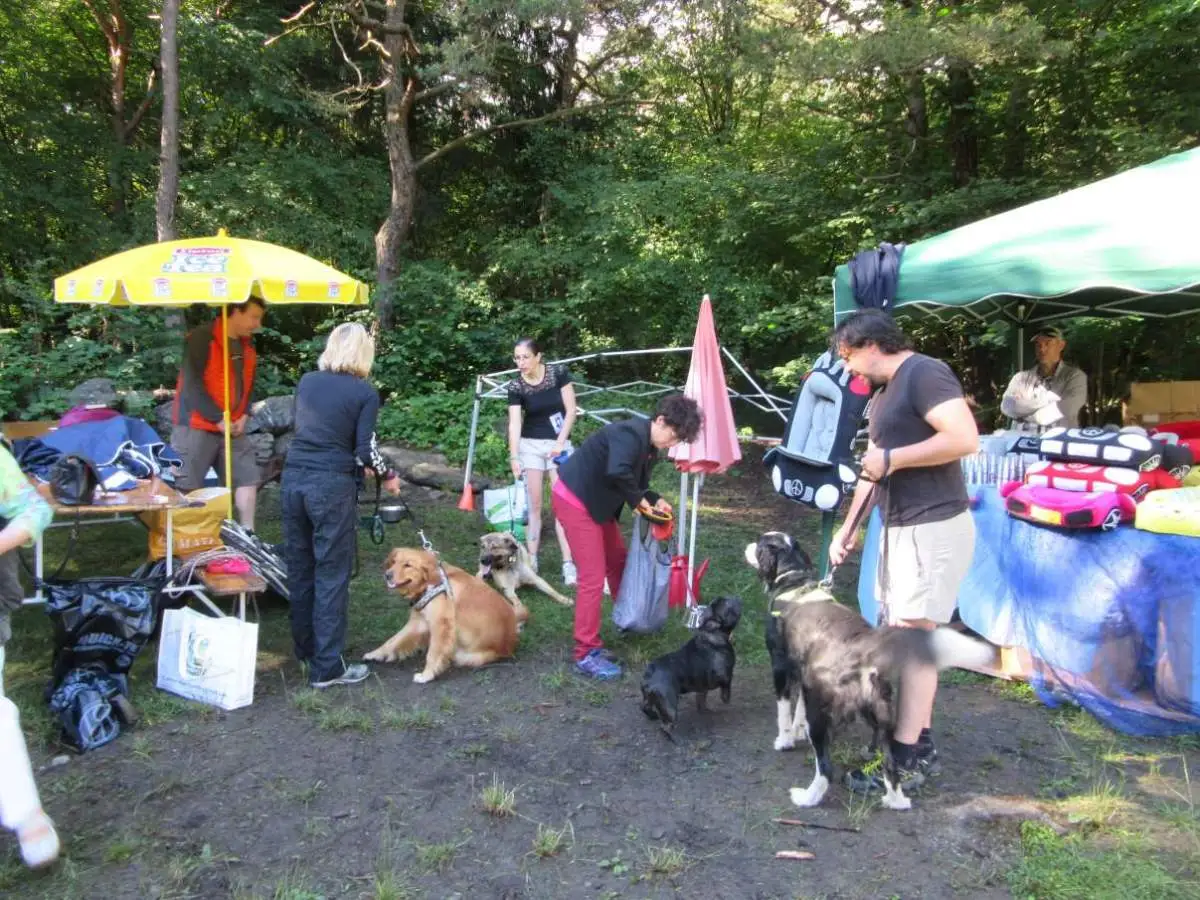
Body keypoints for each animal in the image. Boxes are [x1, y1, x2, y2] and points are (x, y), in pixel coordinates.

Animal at [364, 548, 529, 683]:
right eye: (393, 562)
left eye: (408, 565)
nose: (387, 575)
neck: (430, 582)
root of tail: (510, 643)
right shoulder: (418, 623)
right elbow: (393, 640)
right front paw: (375, 654)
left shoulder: (440, 625)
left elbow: (433, 653)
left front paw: (427, 675)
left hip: (464, 655)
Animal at [640, 595, 742, 741]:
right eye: (729, 605)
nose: (737, 597)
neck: (711, 633)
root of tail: (649, 678)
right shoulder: (724, 676)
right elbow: (726, 687)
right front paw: (725, 699)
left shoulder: (702, 686)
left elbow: (701, 698)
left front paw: (703, 710)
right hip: (670, 706)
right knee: (665, 727)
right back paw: (677, 739)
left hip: (650, 698)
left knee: (644, 706)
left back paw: (652, 715)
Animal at [745, 531, 996, 811]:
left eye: (760, 544)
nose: (749, 545)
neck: (794, 583)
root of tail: (865, 652)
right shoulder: (802, 671)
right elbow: (798, 709)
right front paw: (798, 730)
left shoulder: (780, 665)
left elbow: (784, 711)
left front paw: (785, 740)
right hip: (882, 718)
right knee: (892, 766)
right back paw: (896, 800)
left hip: (822, 716)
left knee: (826, 770)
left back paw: (807, 798)